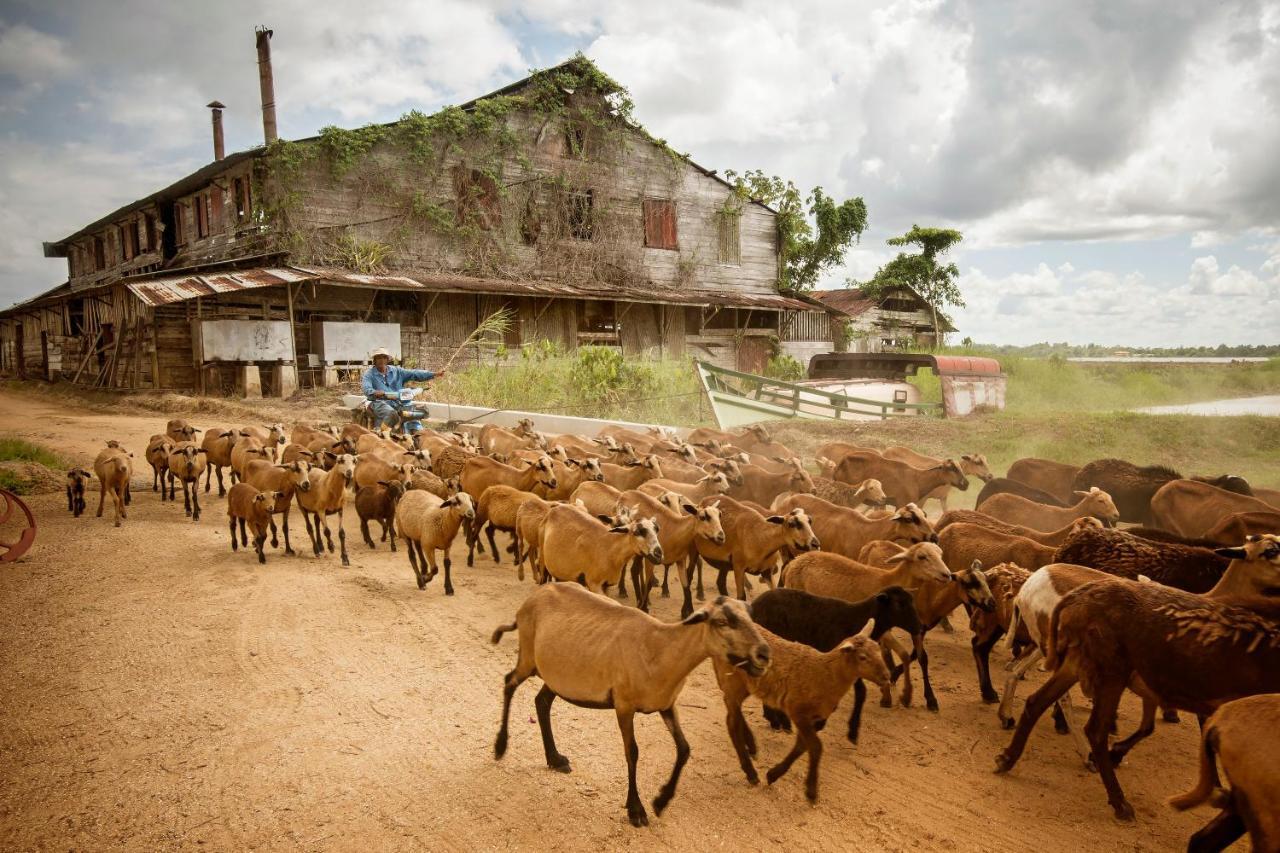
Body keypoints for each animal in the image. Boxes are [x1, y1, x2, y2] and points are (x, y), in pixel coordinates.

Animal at [488, 581, 768, 824]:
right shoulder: (624, 705)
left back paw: (555, 759)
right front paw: (636, 810)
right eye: (721, 622)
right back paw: (500, 747)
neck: (661, 650)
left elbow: (684, 749)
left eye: (751, 617)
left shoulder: (666, 705)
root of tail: (530, 601)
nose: (764, 654)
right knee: (509, 683)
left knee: (542, 702)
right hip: (528, 657)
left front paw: (660, 801)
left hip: (558, 676)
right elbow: (632, 752)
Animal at [716, 617, 885, 799]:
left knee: (734, 712)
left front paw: (774, 774)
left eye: (879, 650)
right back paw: (751, 772)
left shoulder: (814, 719)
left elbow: (801, 746)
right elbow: (815, 747)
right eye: (862, 657)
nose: (886, 677)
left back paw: (752, 746)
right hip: (733, 680)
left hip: (744, 685)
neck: (825, 674)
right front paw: (811, 791)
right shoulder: (798, 712)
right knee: (732, 721)